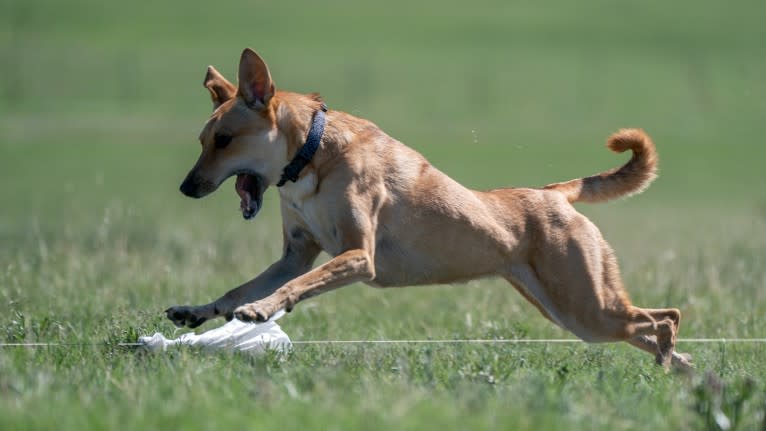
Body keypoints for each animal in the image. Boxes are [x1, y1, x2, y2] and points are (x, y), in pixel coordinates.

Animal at [168, 49, 696, 370]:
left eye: (224, 140)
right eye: (202, 139)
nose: (186, 188)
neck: (310, 155)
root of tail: (553, 192)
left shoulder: (358, 256)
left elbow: (293, 287)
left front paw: (261, 310)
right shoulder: (294, 254)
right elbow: (239, 289)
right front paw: (196, 311)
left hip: (585, 306)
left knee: (667, 317)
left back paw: (669, 358)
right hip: (572, 311)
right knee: (648, 325)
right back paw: (682, 371)